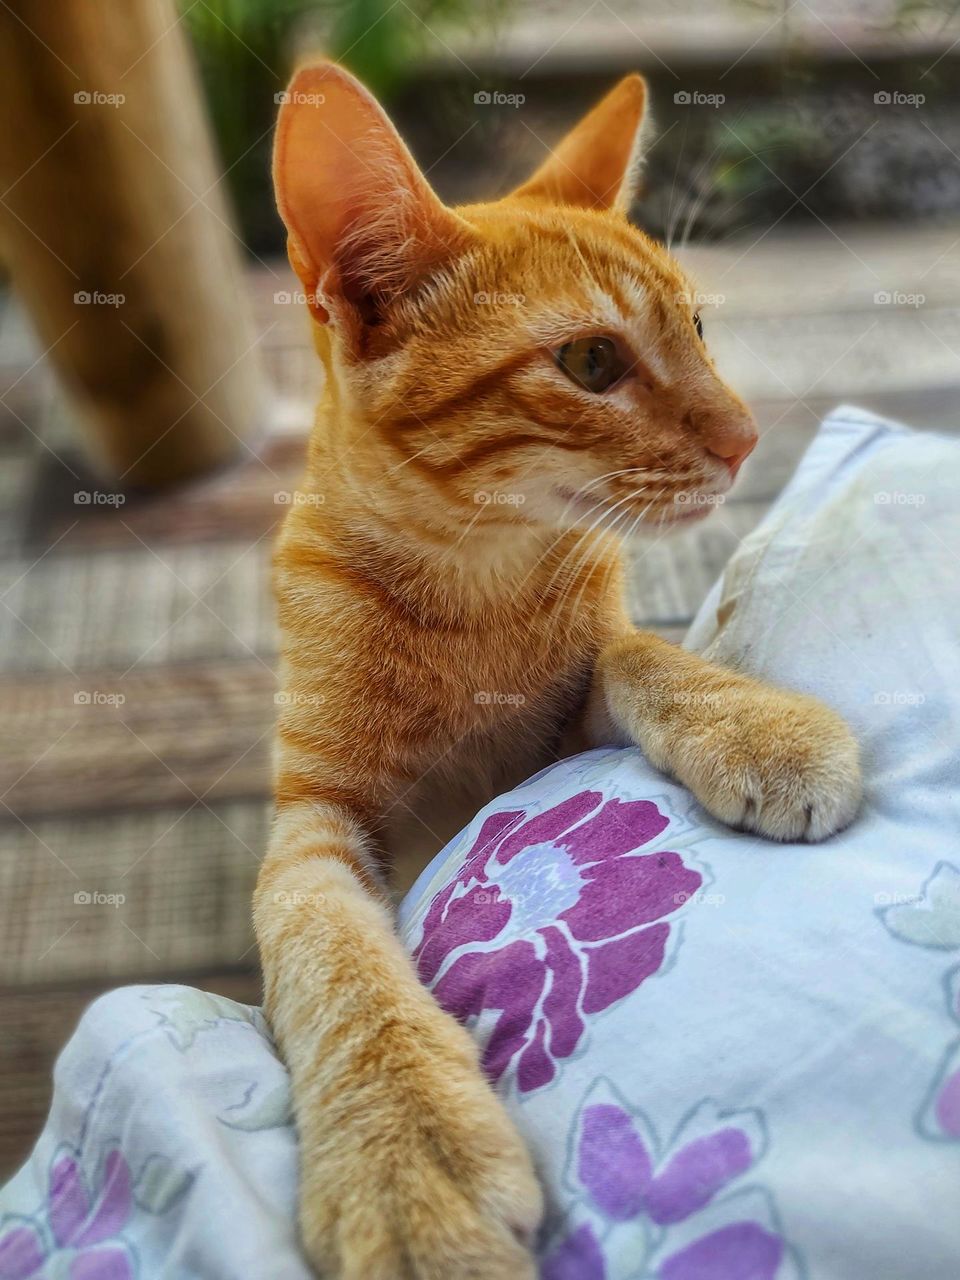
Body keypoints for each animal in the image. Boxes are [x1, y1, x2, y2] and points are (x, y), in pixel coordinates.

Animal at [257, 64, 865, 1274]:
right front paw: (402, 1145)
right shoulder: (310, 818)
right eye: (591, 361)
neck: (471, 590)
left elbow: (633, 652)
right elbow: (327, 943)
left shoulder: (573, 701)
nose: (745, 438)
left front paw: (758, 724)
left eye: (698, 326)